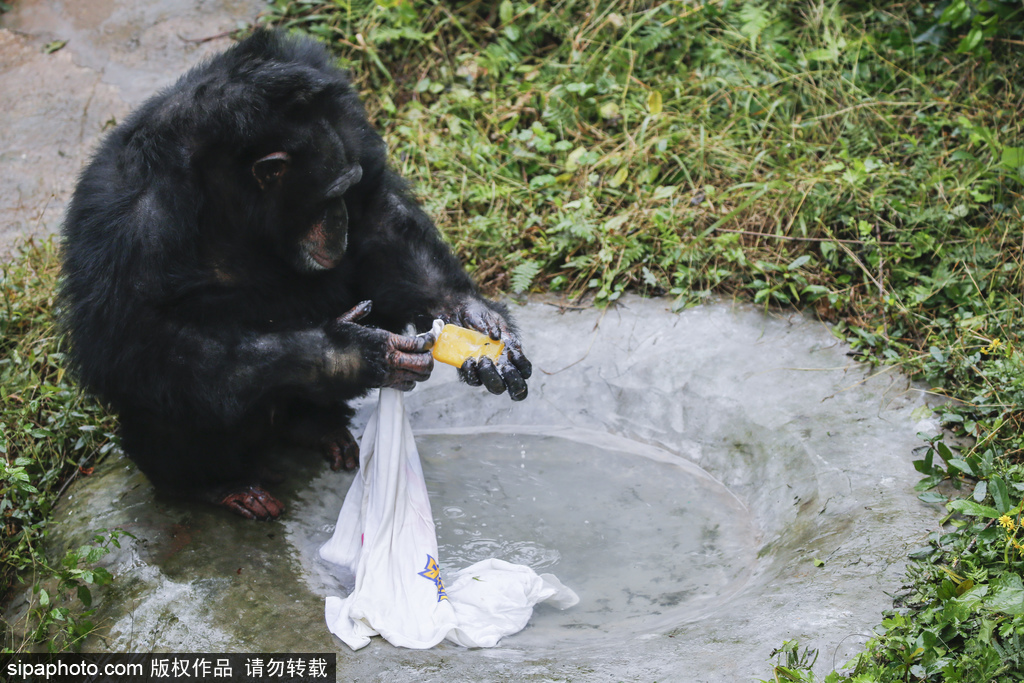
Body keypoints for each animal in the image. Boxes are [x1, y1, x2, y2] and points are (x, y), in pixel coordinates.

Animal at [59, 29, 532, 520]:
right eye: (327, 196)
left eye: (346, 187)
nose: (340, 218)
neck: (228, 193)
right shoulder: (132, 221)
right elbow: (139, 340)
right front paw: (350, 354)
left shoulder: (346, 122)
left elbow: (377, 213)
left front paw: (475, 322)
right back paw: (214, 485)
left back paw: (319, 428)